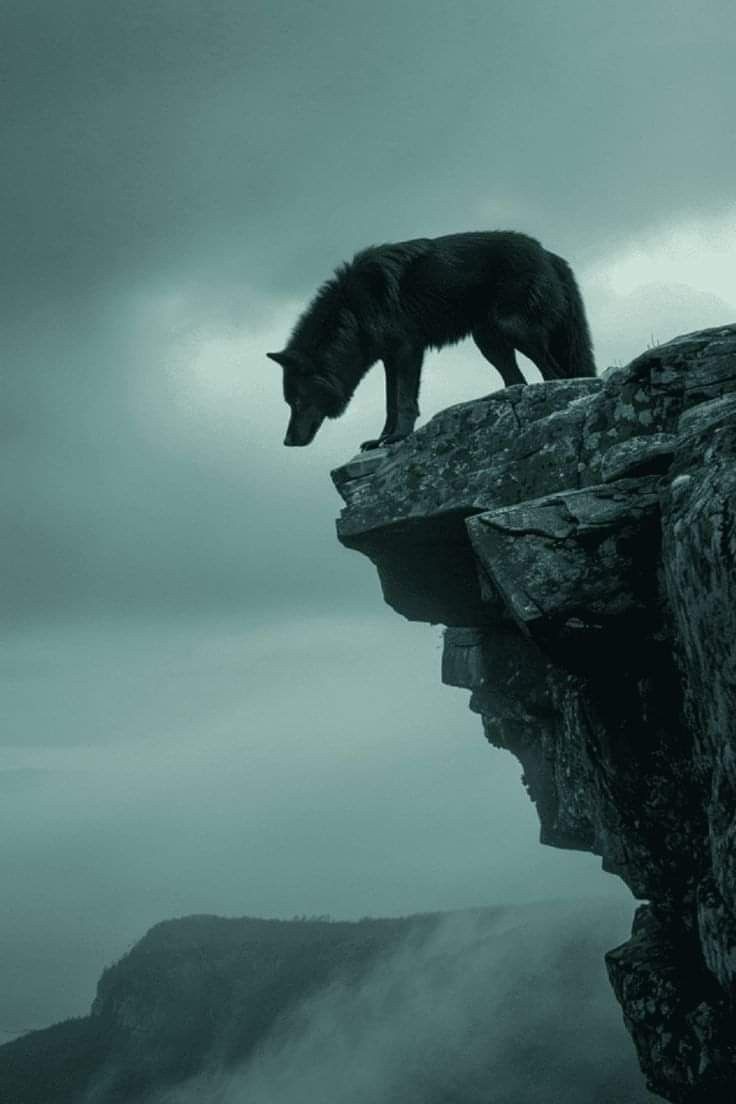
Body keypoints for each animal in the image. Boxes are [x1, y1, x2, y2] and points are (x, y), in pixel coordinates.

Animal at [267, 231, 595, 448]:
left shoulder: (408, 350)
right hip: (489, 344)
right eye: (288, 402)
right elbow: (390, 402)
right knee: (518, 380)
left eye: (297, 401)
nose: (286, 441)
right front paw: (382, 438)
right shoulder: (389, 358)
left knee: (555, 373)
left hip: (516, 332)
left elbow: (404, 400)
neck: (353, 311)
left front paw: (400, 436)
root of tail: (549, 254)